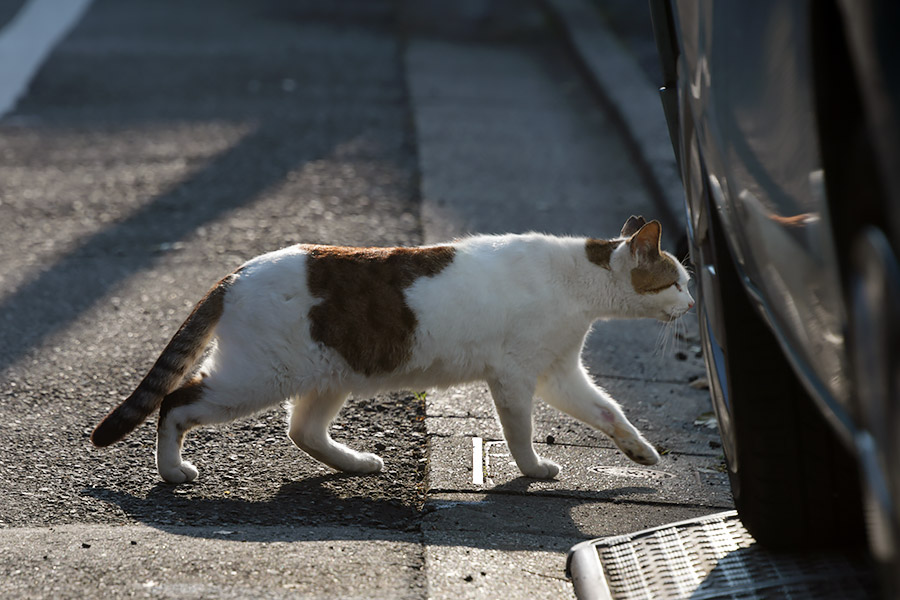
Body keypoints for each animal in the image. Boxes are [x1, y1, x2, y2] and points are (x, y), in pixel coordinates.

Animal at [91, 216, 692, 482]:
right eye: (676, 281)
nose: (691, 304)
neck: (577, 282)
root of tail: (235, 273)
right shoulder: (516, 376)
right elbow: (519, 433)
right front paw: (533, 469)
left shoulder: (559, 373)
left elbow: (609, 412)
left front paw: (640, 452)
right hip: (256, 377)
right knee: (177, 403)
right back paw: (174, 470)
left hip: (329, 374)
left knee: (302, 431)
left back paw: (356, 463)